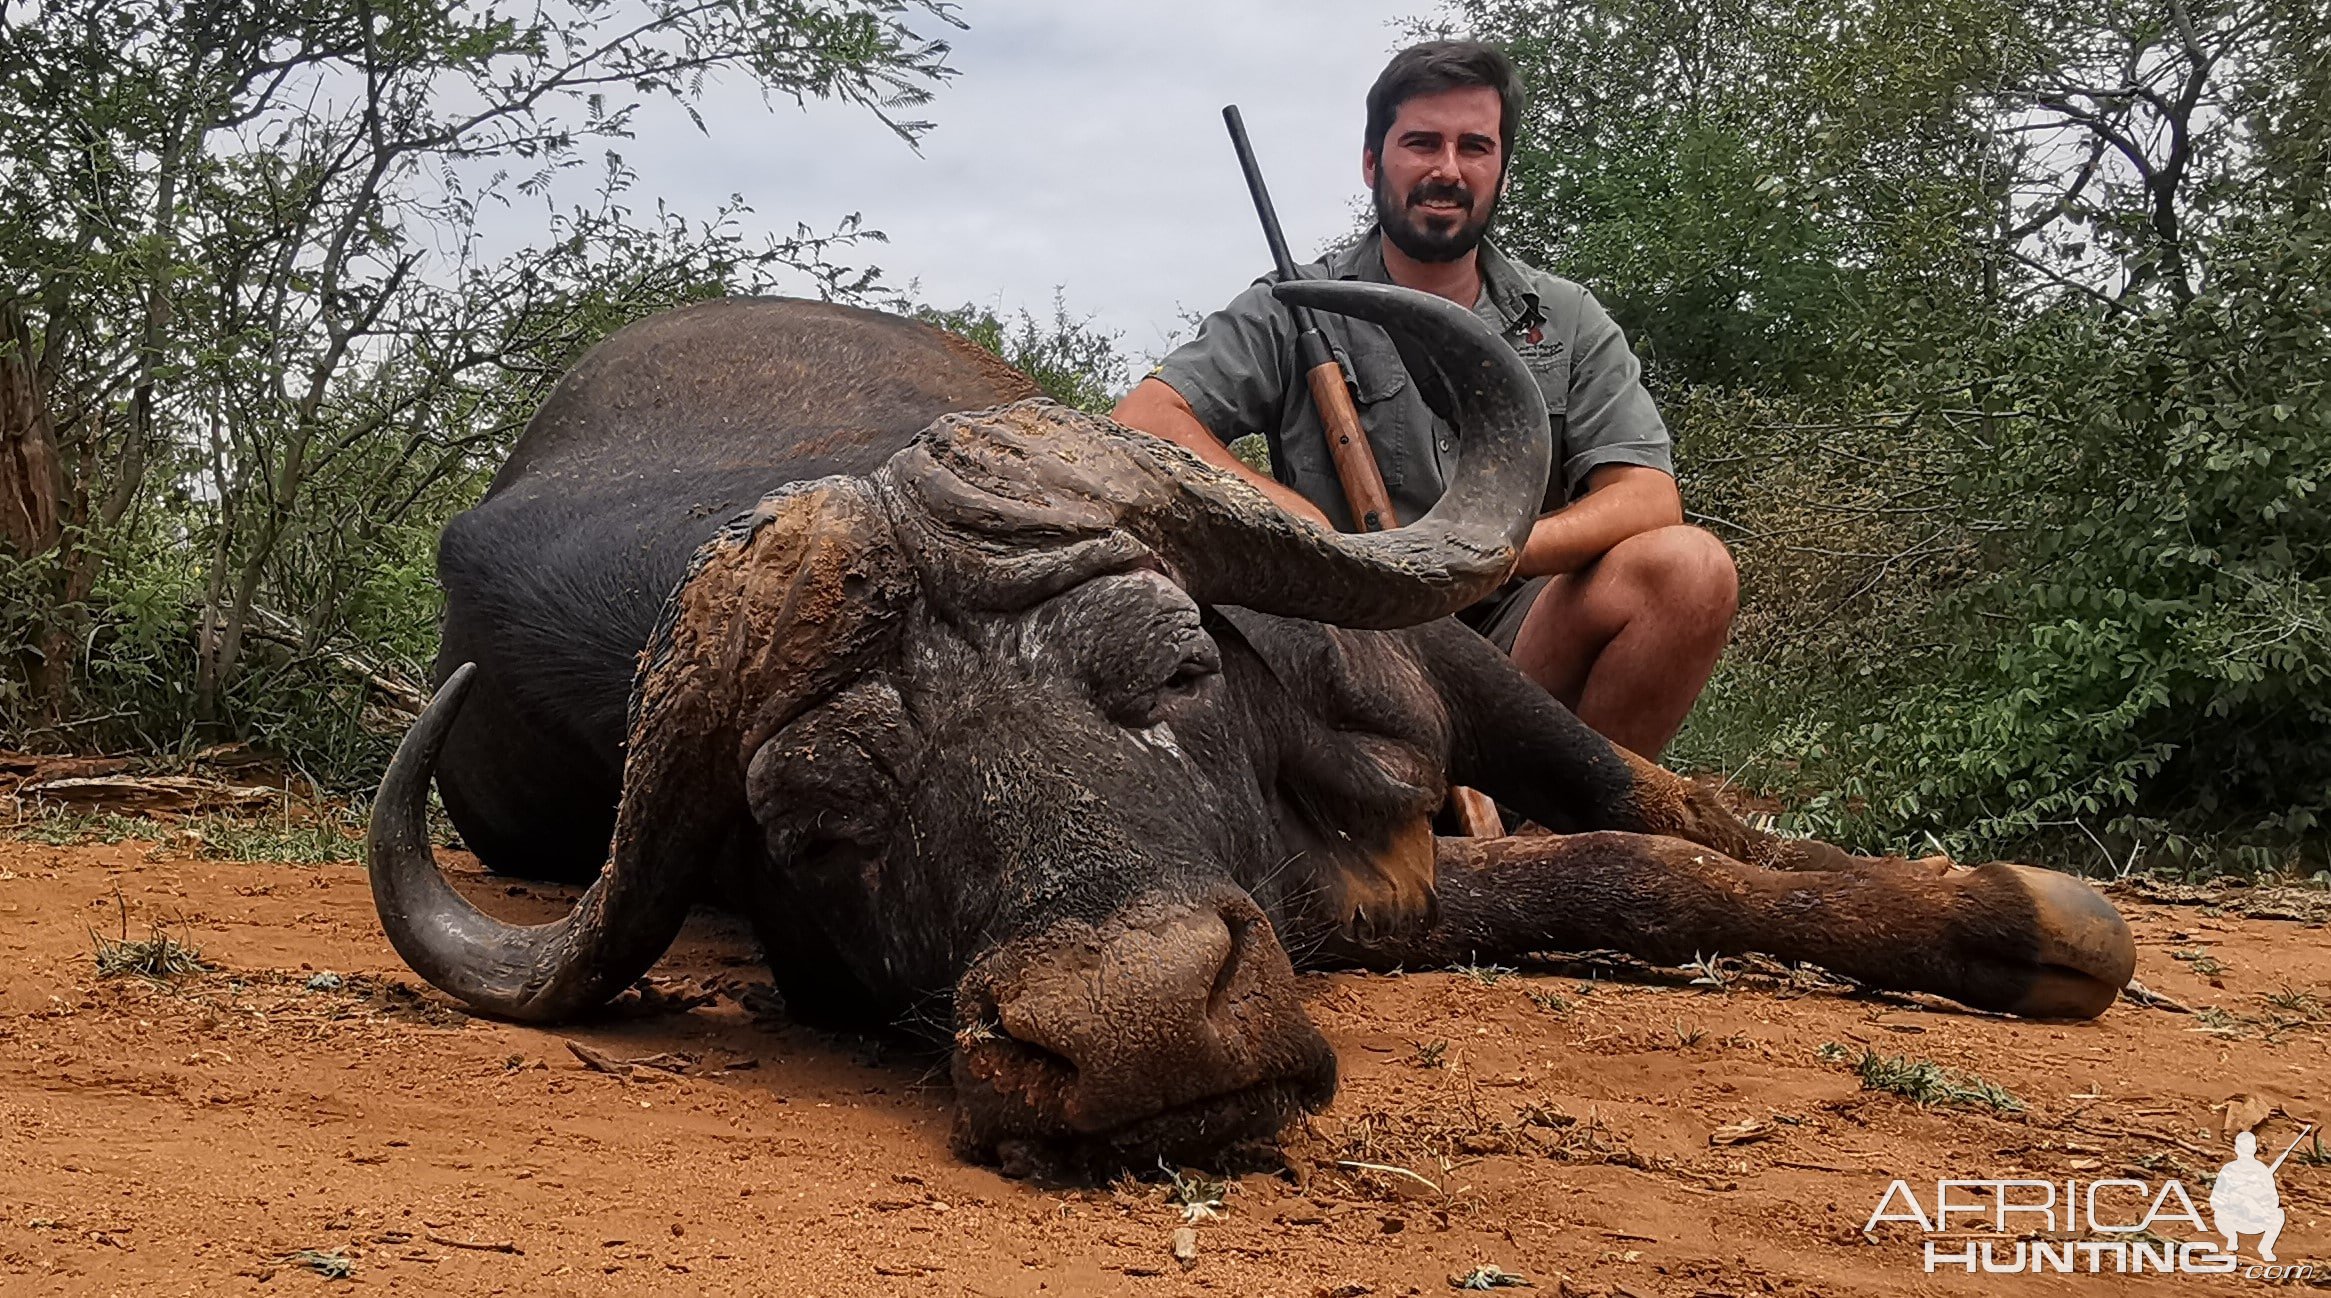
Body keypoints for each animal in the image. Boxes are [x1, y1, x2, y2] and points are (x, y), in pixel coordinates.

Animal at [372, 283, 2135, 1174]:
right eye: (812, 828)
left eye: (1169, 668)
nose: (1141, 1022)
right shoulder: (1364, 905)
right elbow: (1617, 878)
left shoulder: (1434, 678)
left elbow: (1655, 832)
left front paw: (2015, 914)